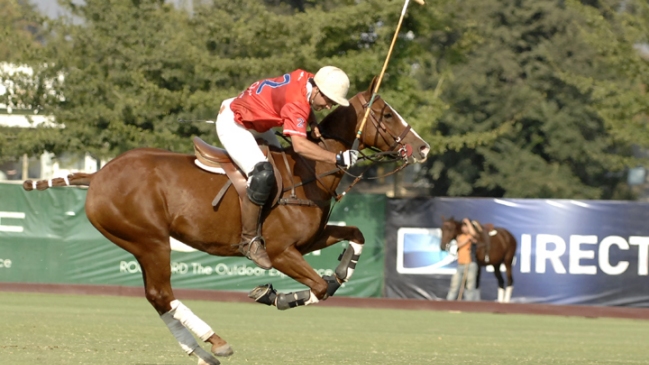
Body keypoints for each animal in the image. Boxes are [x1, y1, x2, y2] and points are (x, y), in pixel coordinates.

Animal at [22, 79, 430, 364]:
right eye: (387, 114)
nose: (423, 148)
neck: (309, 170)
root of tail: (98, 176)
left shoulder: (309, 240)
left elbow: (354, 238)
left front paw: (342, 269)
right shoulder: (280, 251)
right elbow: (320, 287)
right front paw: (274, 295)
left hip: (137, 242)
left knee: (156, 297)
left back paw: (201, 352)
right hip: (149, 240)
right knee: (162, 293)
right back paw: (215, 342)